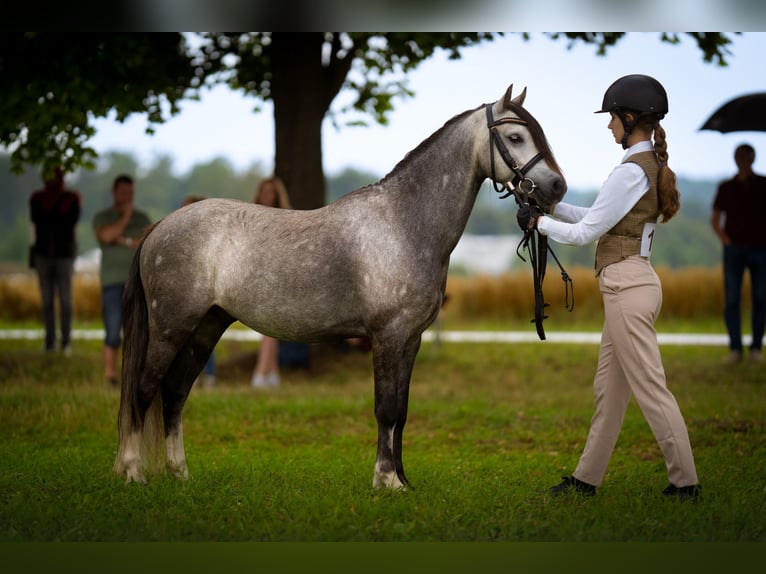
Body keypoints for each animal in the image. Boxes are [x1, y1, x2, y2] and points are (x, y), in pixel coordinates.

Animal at [113, 84, 567, 489]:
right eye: (515, 137)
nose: (557, 187)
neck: (403, 224)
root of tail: (160, 226)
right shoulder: (387, 336)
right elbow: (385, 409)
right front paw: (386, 481)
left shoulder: (411, 339)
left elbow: (402, 411)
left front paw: (403, 480)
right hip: (170, 328)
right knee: (143, 389)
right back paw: (134, 473)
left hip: (206, 327)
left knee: (174, 394)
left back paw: (179, 474)